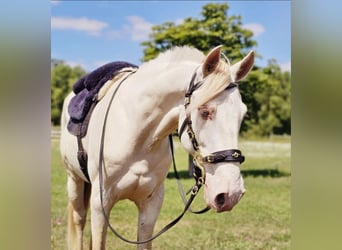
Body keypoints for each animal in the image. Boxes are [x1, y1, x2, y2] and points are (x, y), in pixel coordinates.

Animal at [60, 45, 254, 250]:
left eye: (242, 114)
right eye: (205, 111)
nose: (231, 193)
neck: (138, 136)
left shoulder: (151, 204)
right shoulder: (100, 202)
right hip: (75, 182)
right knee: (79, 219)